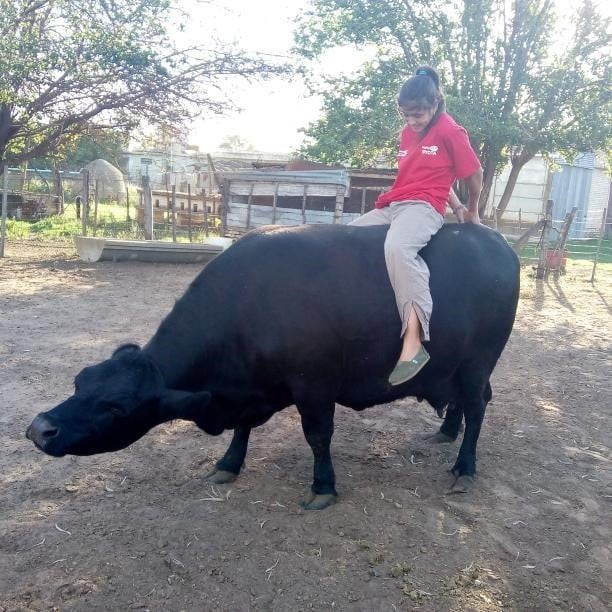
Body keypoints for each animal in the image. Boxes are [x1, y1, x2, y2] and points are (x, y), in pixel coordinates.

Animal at [26, 222, 520, 510]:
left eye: (116, 407)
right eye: (80, 380)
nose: (39, 429)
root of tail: (496, 241)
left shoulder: (314, 385)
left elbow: (318, 436)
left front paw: (323, 487)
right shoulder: (250, 388)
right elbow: (244, 429)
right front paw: (228, 463)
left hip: (479, 360)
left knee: (478, 405)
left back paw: (464, 467)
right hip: (455, 364)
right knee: (462, 402)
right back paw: (446, 433)